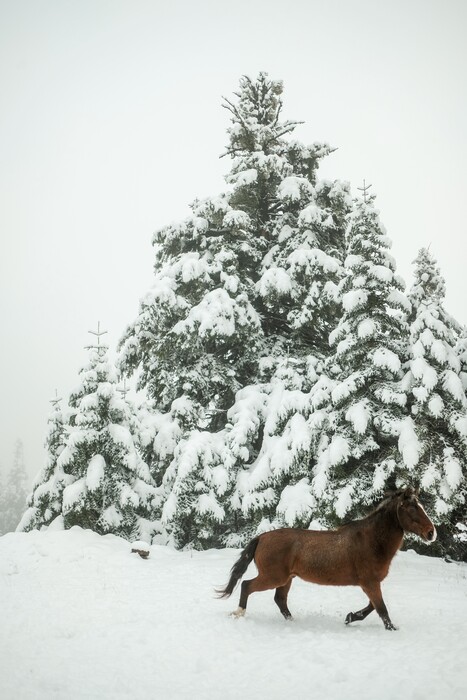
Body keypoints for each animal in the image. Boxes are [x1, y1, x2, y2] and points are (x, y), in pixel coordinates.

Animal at [218, 486, 436, 628]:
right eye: (412, 508)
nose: (431, 533)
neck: (371, 540)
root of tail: (262, 537)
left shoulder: (371, 583)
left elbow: (372, 607)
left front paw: (350, 617)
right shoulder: (370, 582)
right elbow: (382, 610)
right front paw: (392, 629)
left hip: (286, 579)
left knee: (280, 600)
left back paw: (293, 622)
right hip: (273, 577)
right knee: (247, 585)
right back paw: (238, 613)